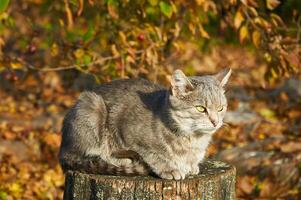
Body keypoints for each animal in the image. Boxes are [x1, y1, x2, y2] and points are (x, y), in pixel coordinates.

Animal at [59, 68, 232, 180]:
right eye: (201, 108)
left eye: (221, 108)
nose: (215, 121)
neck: (194, 140)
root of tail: (62, 149)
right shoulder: (129, 133)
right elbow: (152, 154)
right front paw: (169, 168)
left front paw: (192, 166)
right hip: (91, 107)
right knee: (90, 154)